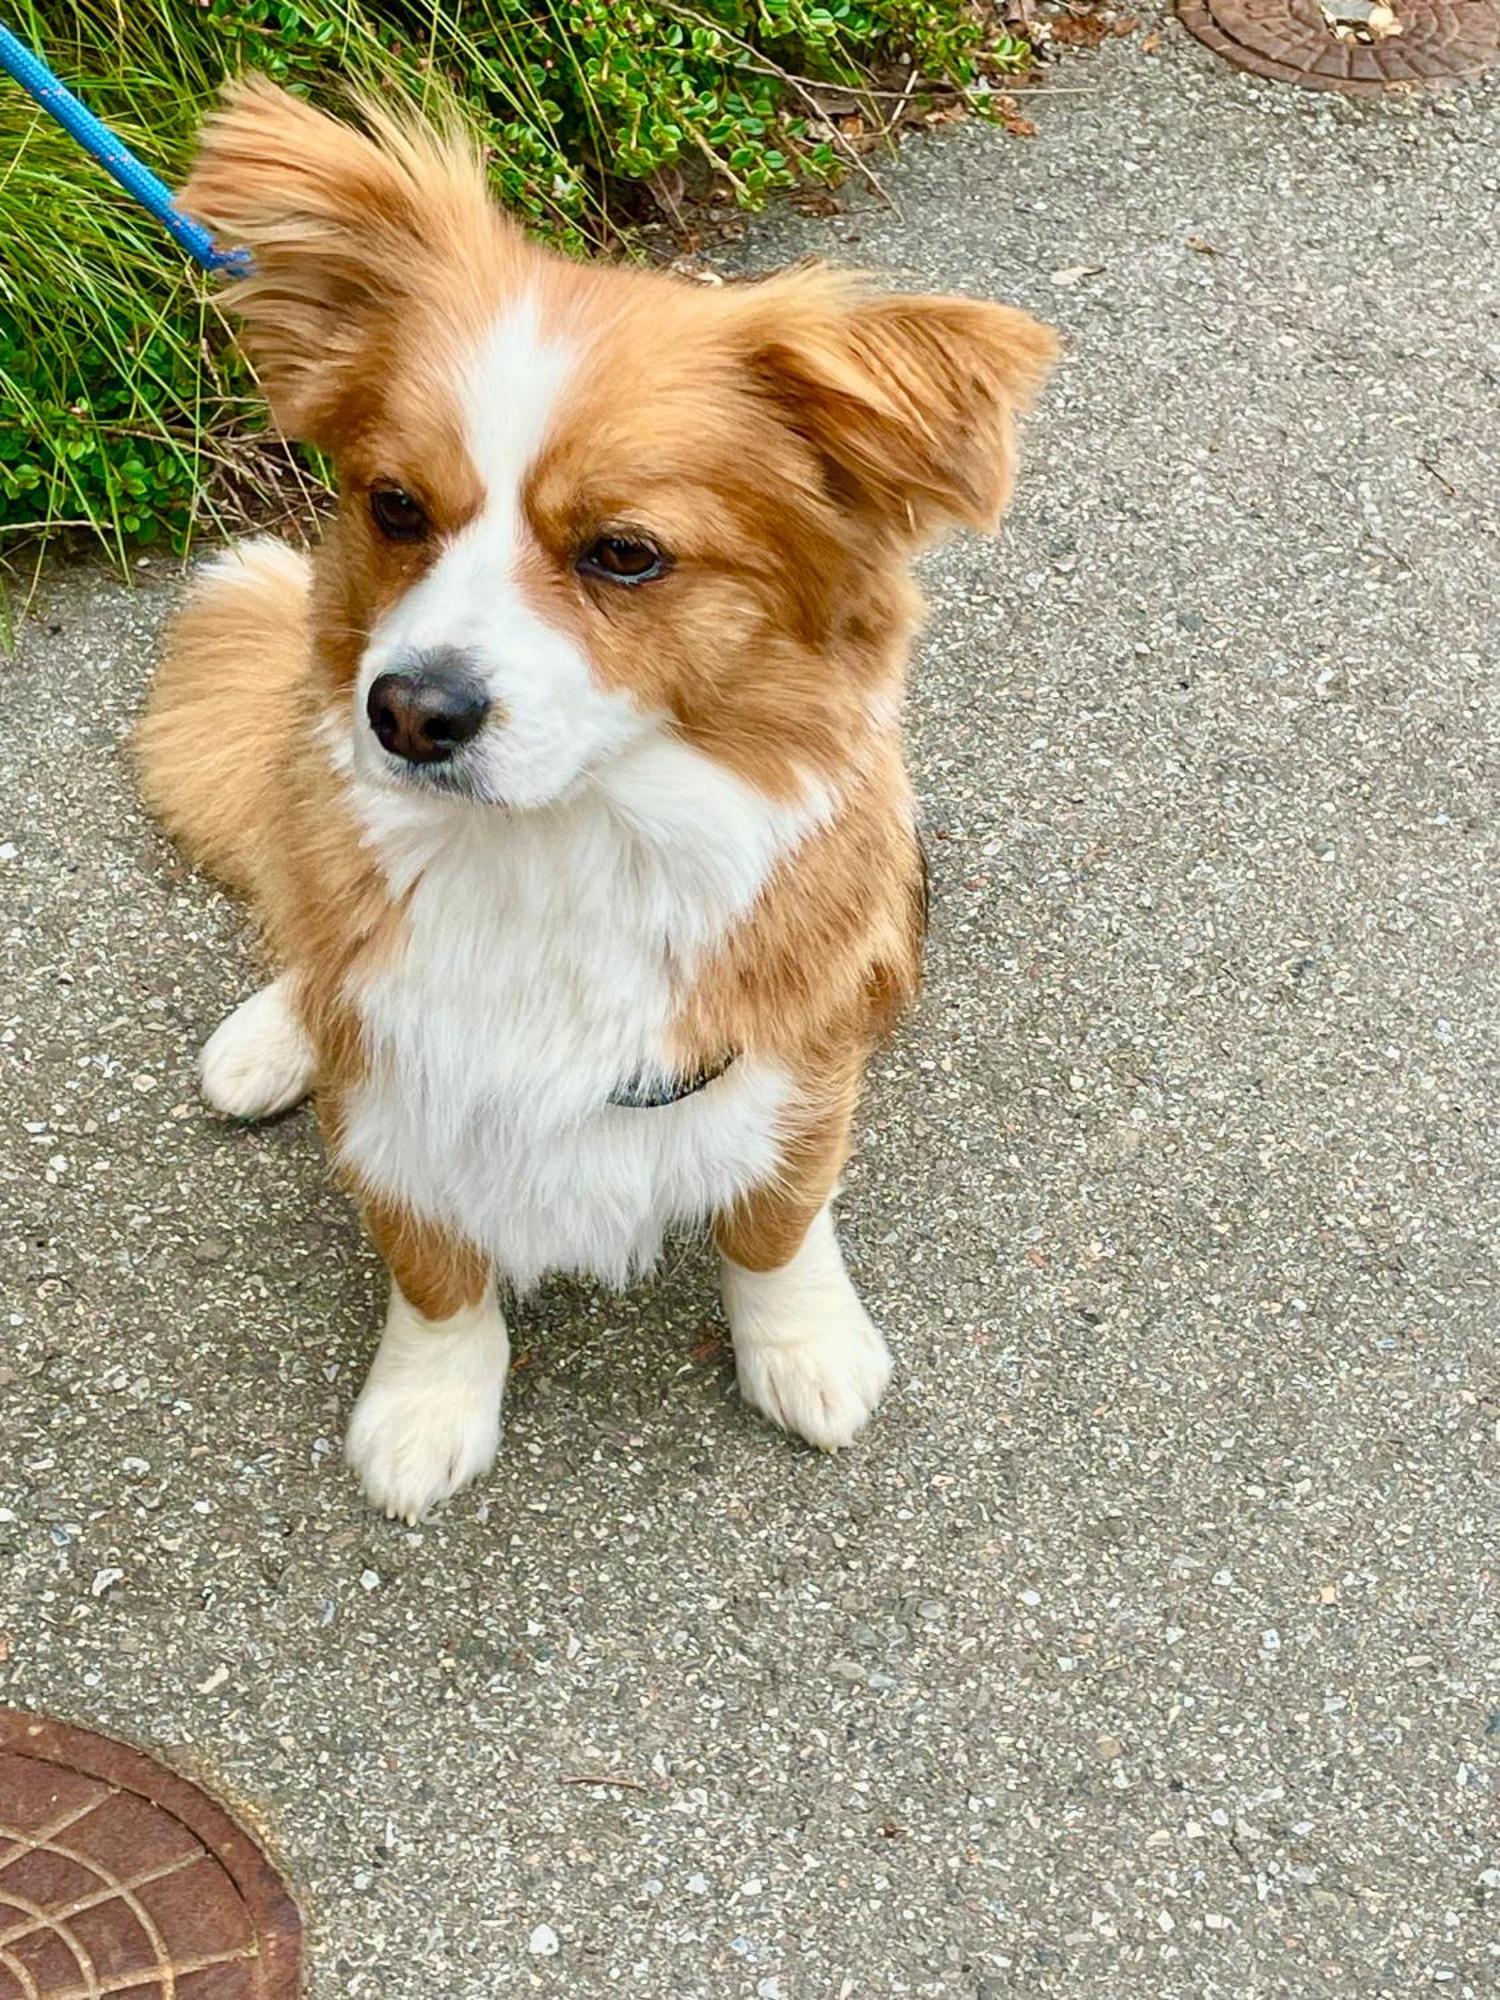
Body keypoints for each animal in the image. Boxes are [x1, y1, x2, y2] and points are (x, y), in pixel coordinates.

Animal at [141, 78, 1056, 1512]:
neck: (556, 852)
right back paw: (273, 1032)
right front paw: (429, 1401)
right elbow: (433, 1267)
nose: (408, 711)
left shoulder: (791, 1057)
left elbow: (779, 1218)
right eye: (394, 506)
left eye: (625, 554)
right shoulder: (397, 1098)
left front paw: (802, 1345)